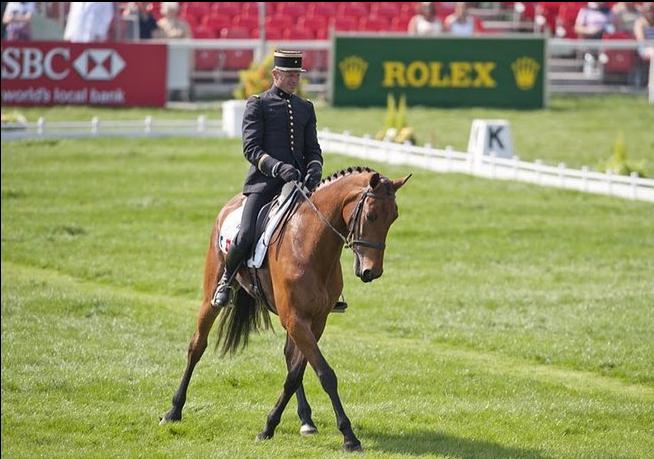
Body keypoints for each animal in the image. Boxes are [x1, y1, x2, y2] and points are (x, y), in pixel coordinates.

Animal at [161, 166, 410, 452]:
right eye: (371, 215)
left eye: (394, 217)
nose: (372, 271)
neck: (309, 244)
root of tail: (232, 203)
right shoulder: (296, 320)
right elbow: (325, 374)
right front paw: (349, 436)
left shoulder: (314, 322)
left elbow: (295, 374)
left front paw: (270, 426)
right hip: (210, 298)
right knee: (196, 346)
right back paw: (173, 411)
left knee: (290, 358)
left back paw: (306, 420)